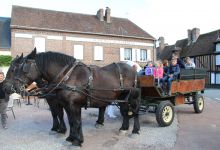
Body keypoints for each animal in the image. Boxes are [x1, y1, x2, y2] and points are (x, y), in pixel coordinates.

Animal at [12, 48, 140, 146]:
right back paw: (124, 128)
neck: (67, 77)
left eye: (24, 67)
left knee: (135, 112)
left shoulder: (74, 105)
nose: (15, 87)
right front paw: (71, 138)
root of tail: (133, 69)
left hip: (132, 98)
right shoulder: (67, 105)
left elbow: (77, 122)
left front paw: (78, 141)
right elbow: (71, 121)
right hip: (122, 98)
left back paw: (135, 130)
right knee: (125, 111)